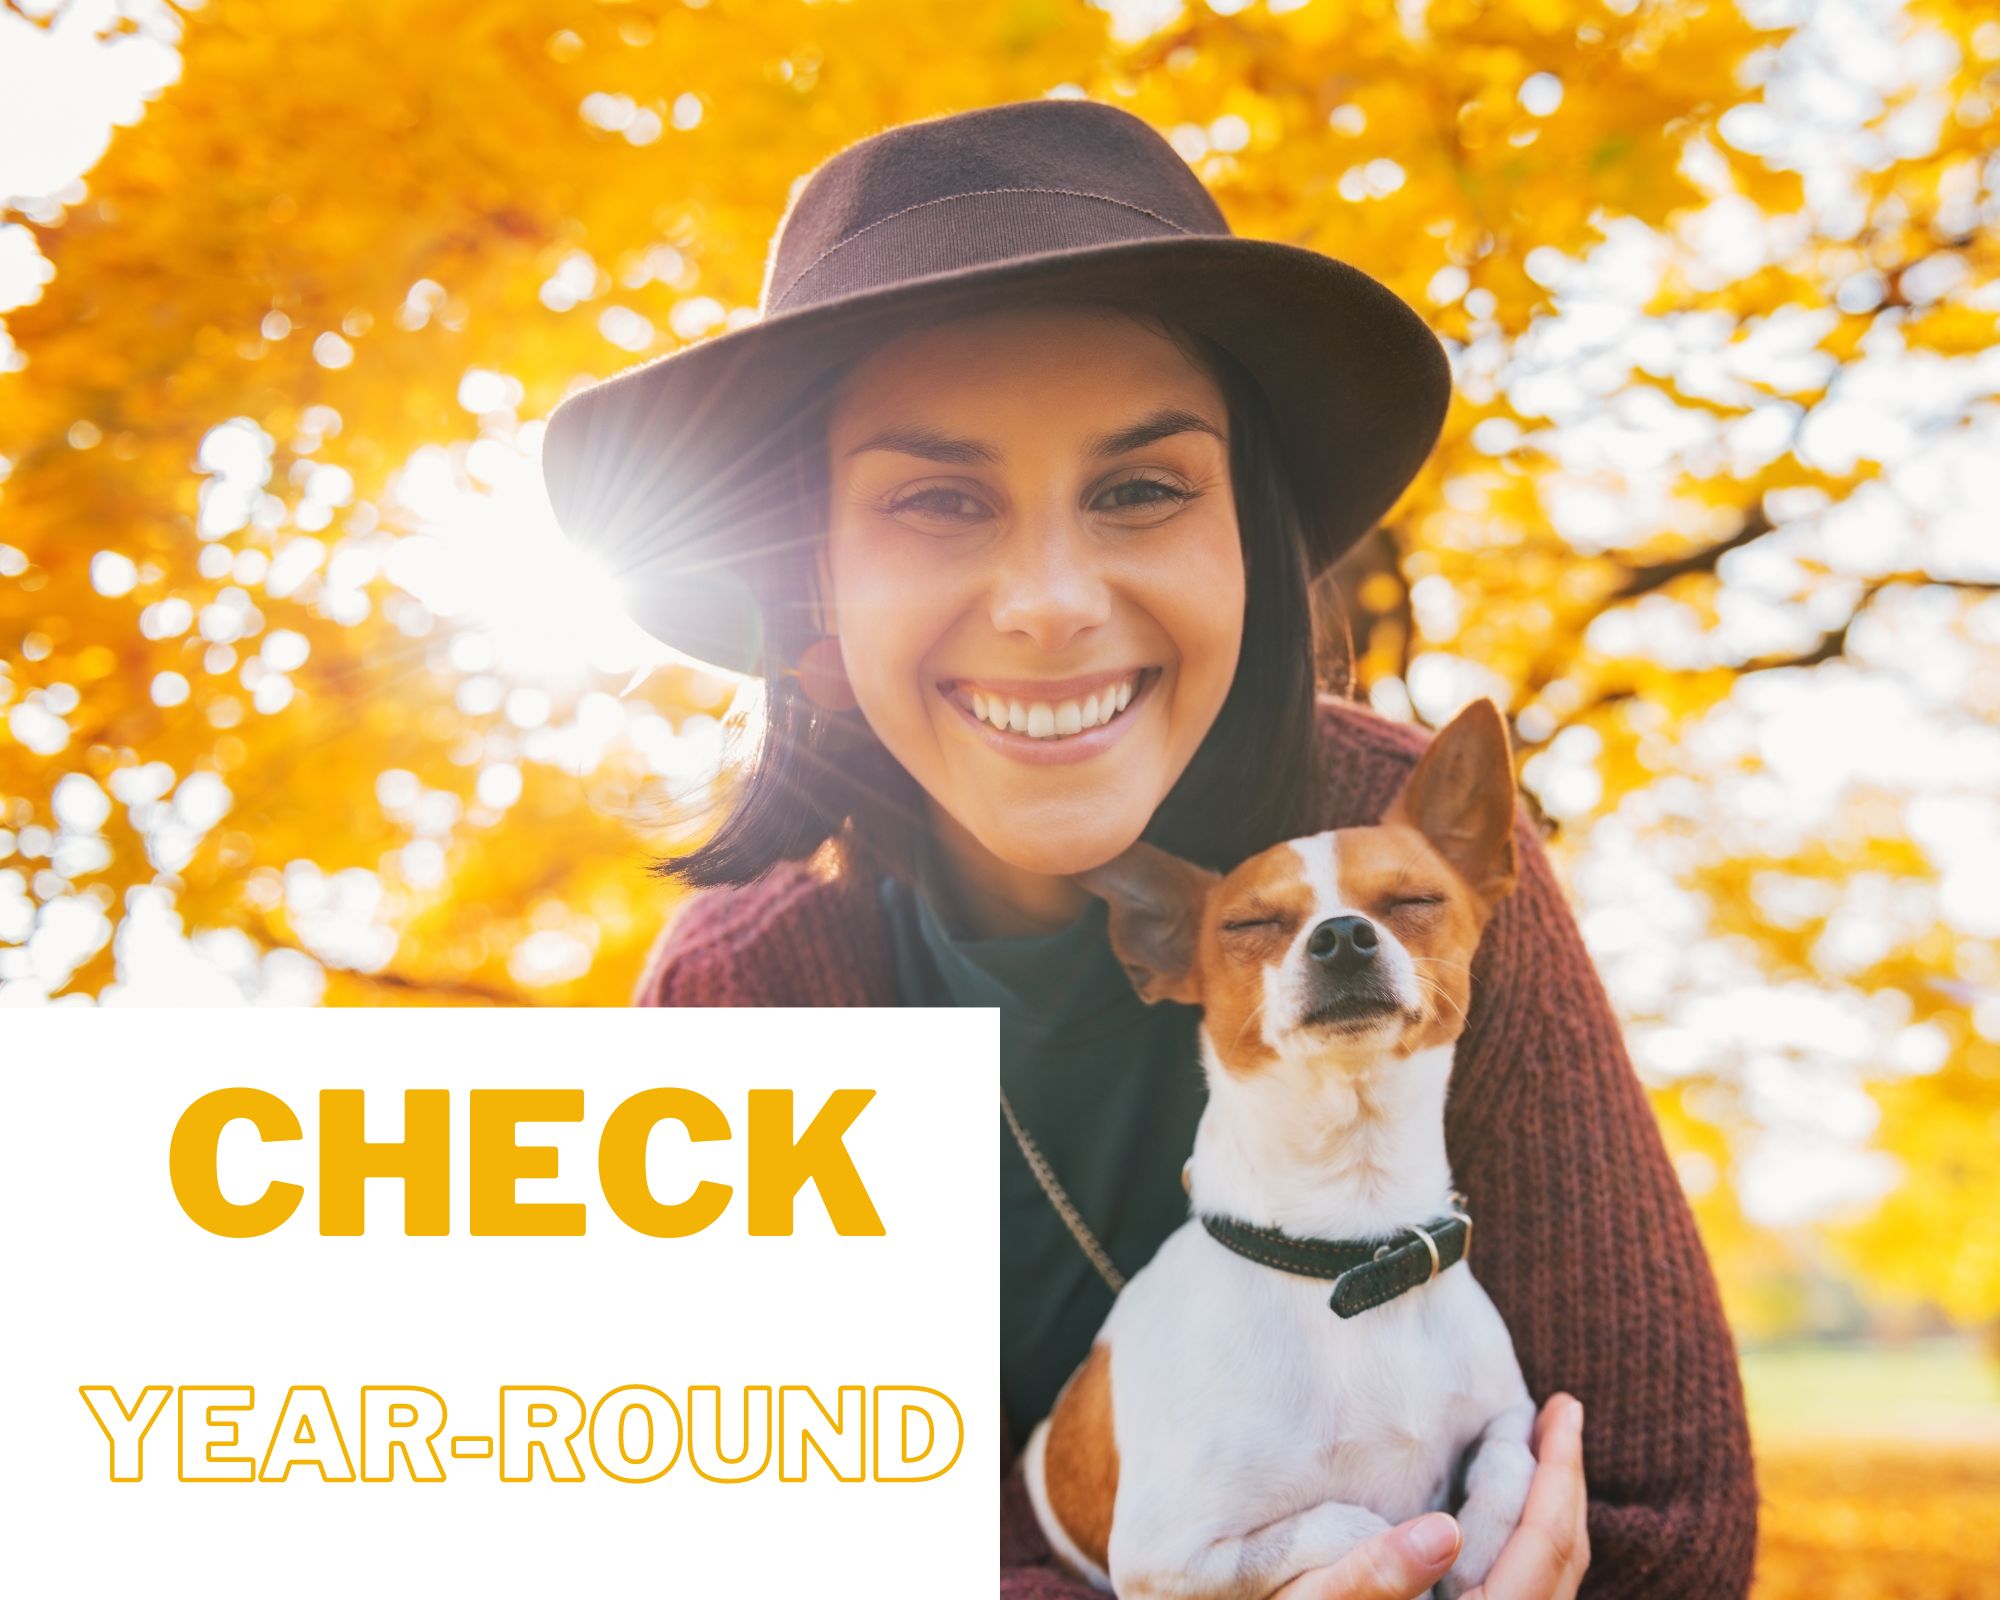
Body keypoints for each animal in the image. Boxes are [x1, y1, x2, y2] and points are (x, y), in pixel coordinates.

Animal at [1024, 700, 1536, 1600]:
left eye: (1414, 899)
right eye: (1250, 924)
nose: (1343, 936)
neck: (1352, 1250)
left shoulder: (1513, 1410)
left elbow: (1510, 1457)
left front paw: (1477, 1544)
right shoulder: (1168, 1560)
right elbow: (1355, 1524)